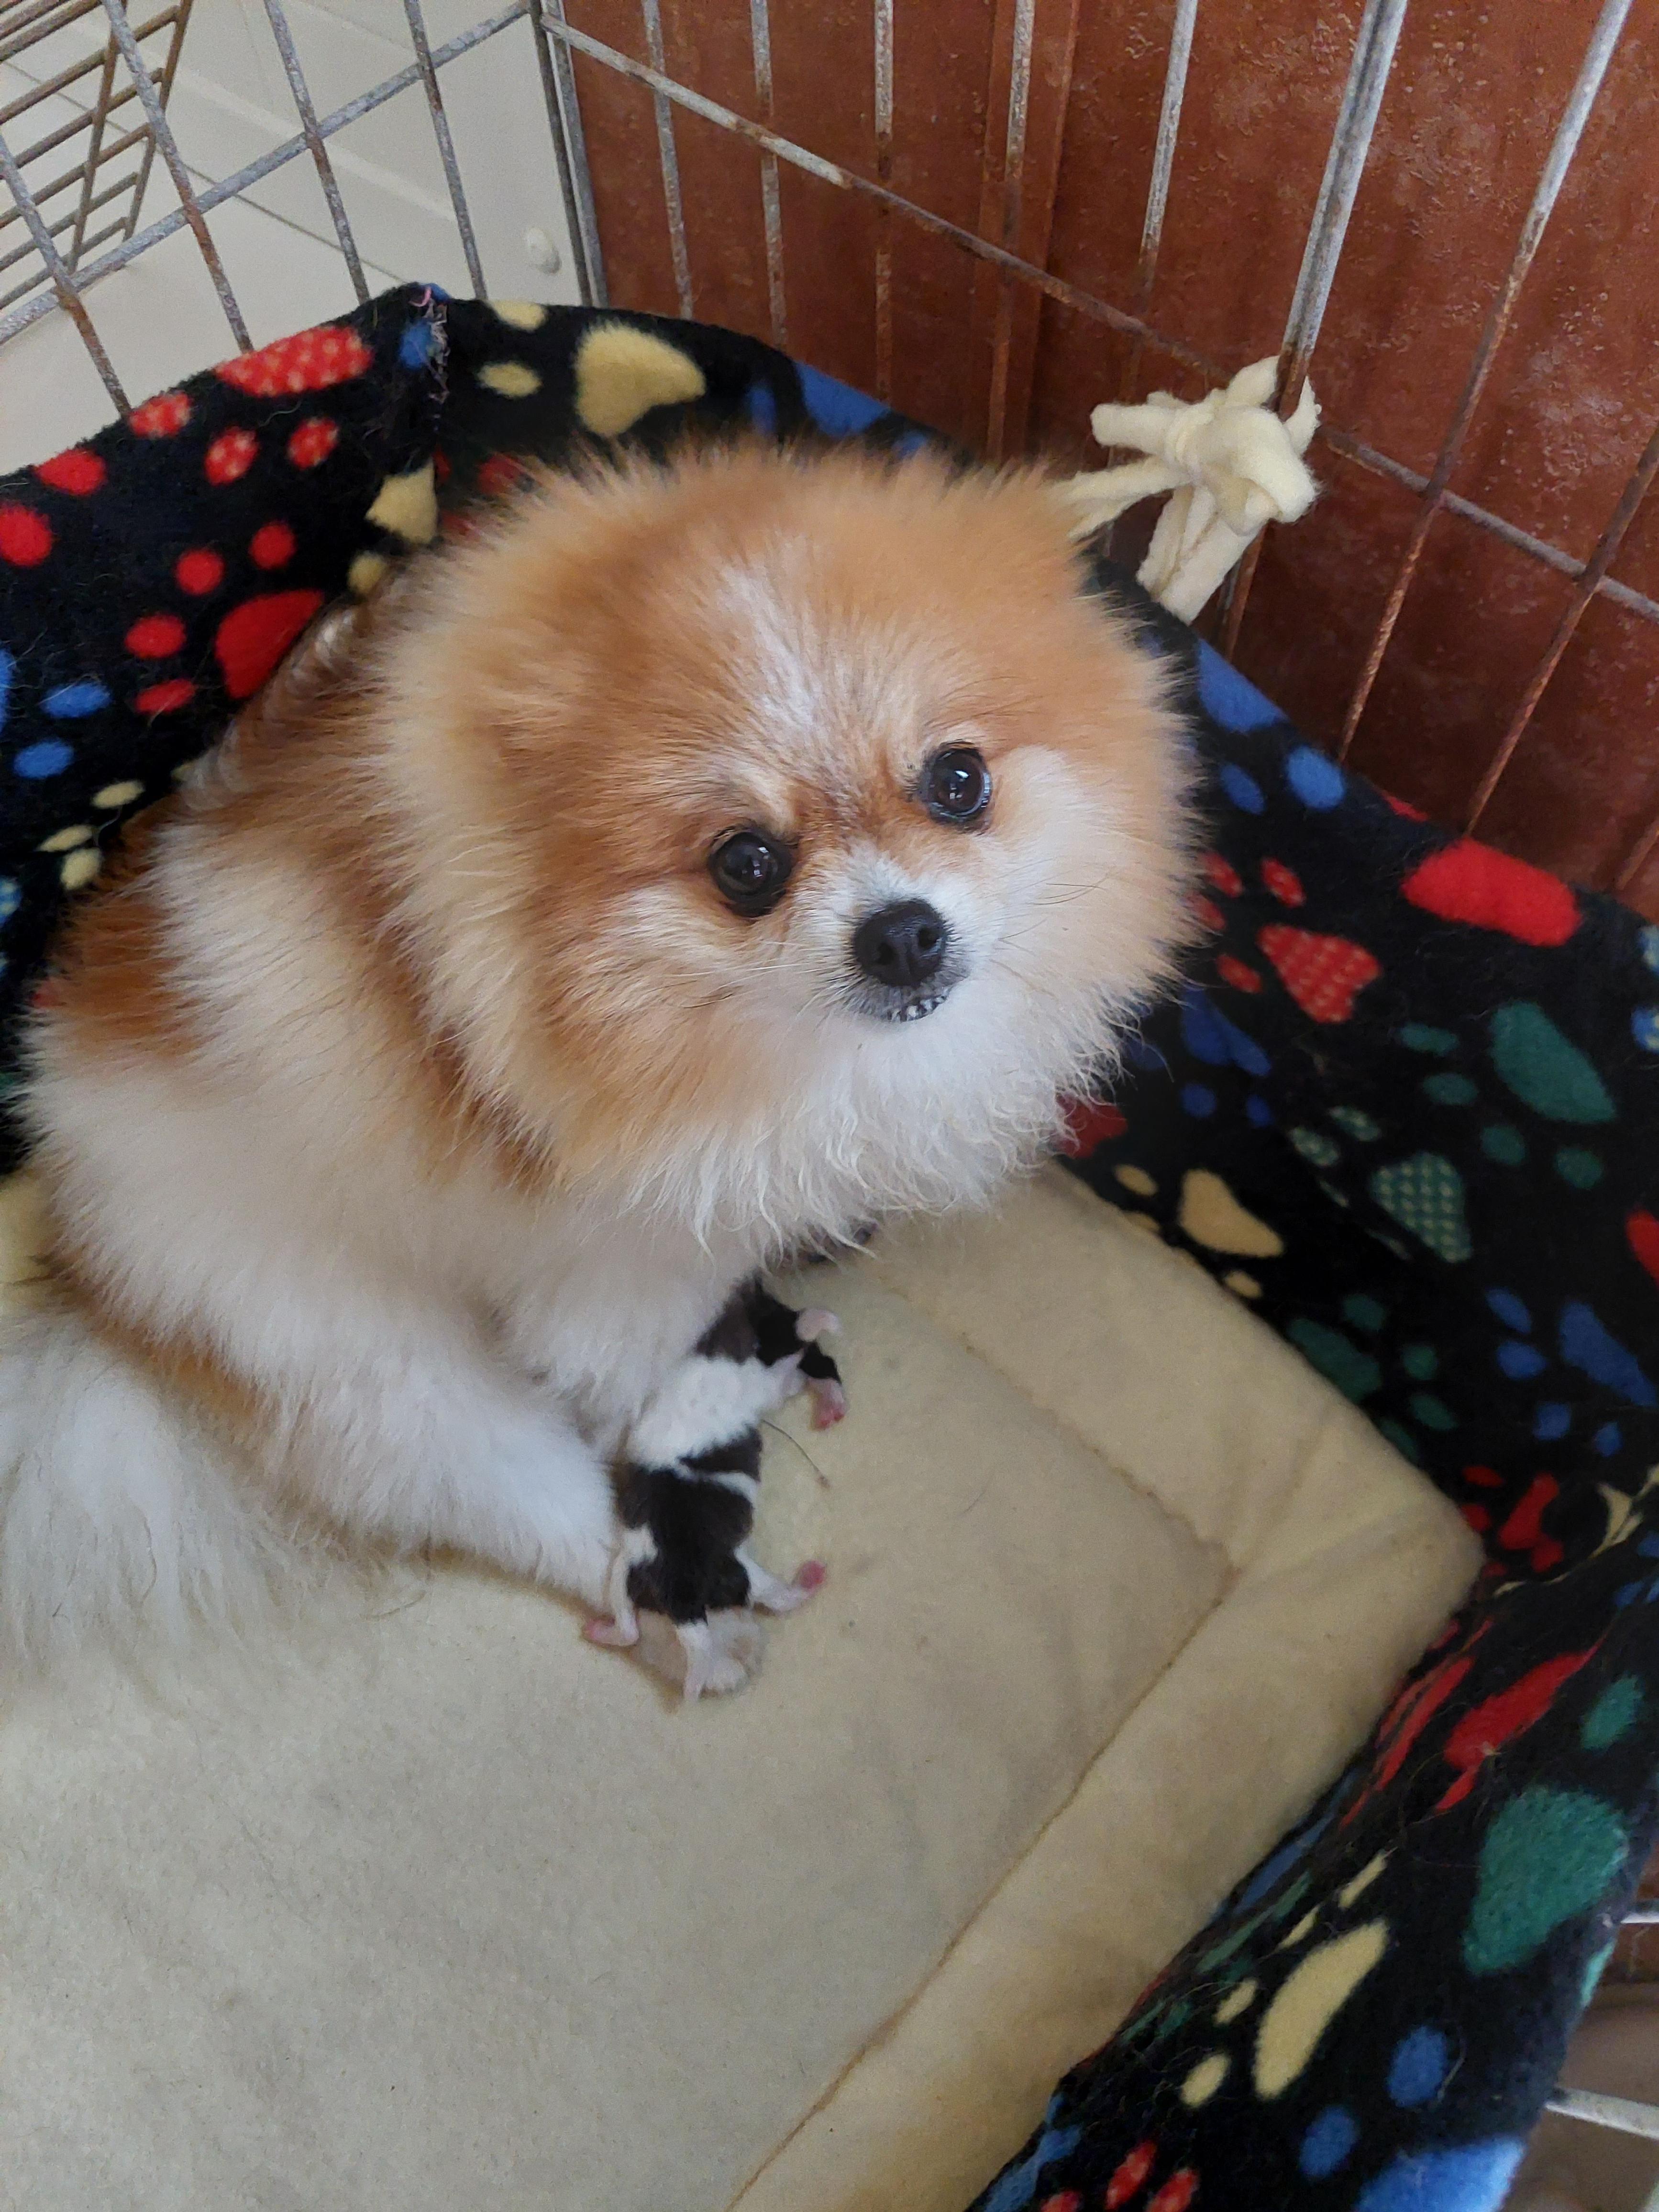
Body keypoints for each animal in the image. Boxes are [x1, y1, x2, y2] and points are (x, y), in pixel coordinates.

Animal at [0, 440, 1193, 1690]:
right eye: (746, 864)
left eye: (957, 779)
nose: (902, 931)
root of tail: (86, 1267)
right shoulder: (615, 1278)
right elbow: (640, 1386)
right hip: (336, 1347)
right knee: (537, 1502)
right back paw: (691, 1618)